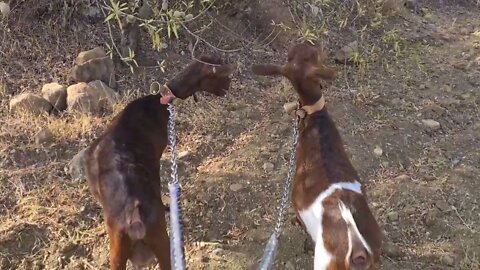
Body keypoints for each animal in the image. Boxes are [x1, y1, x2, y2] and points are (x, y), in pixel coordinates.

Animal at [86, 55, 236, 270]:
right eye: (222, 76)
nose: (229, 86)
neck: (159, 102)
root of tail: (135, 219)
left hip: (124, 249)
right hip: (158, 240)